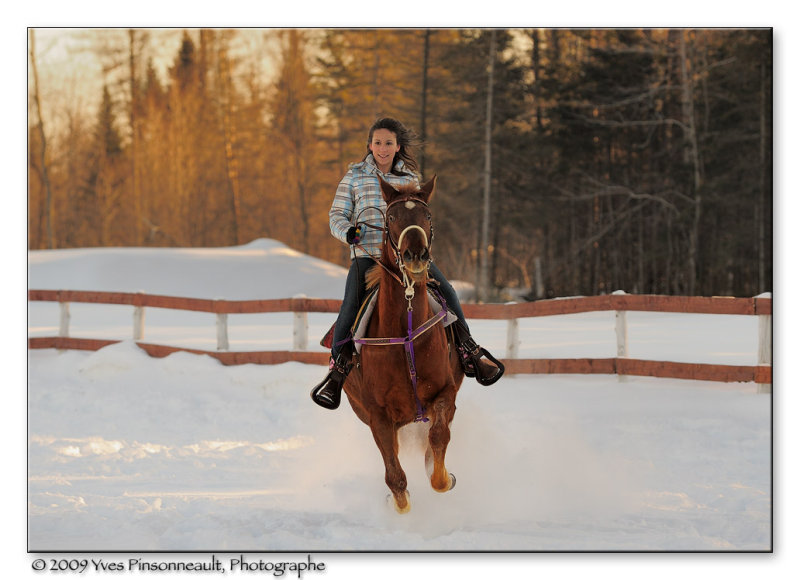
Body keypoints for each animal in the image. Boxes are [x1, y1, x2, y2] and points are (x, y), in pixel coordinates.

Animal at [342, 174, 466, 516]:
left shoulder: (445, 393)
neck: (406, 331)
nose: (415, 256)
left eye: (427, 216)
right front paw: (399, 502)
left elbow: (438, 437)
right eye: (391, 217)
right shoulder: (378, 416)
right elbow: (394, 475)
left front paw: (442, 477)